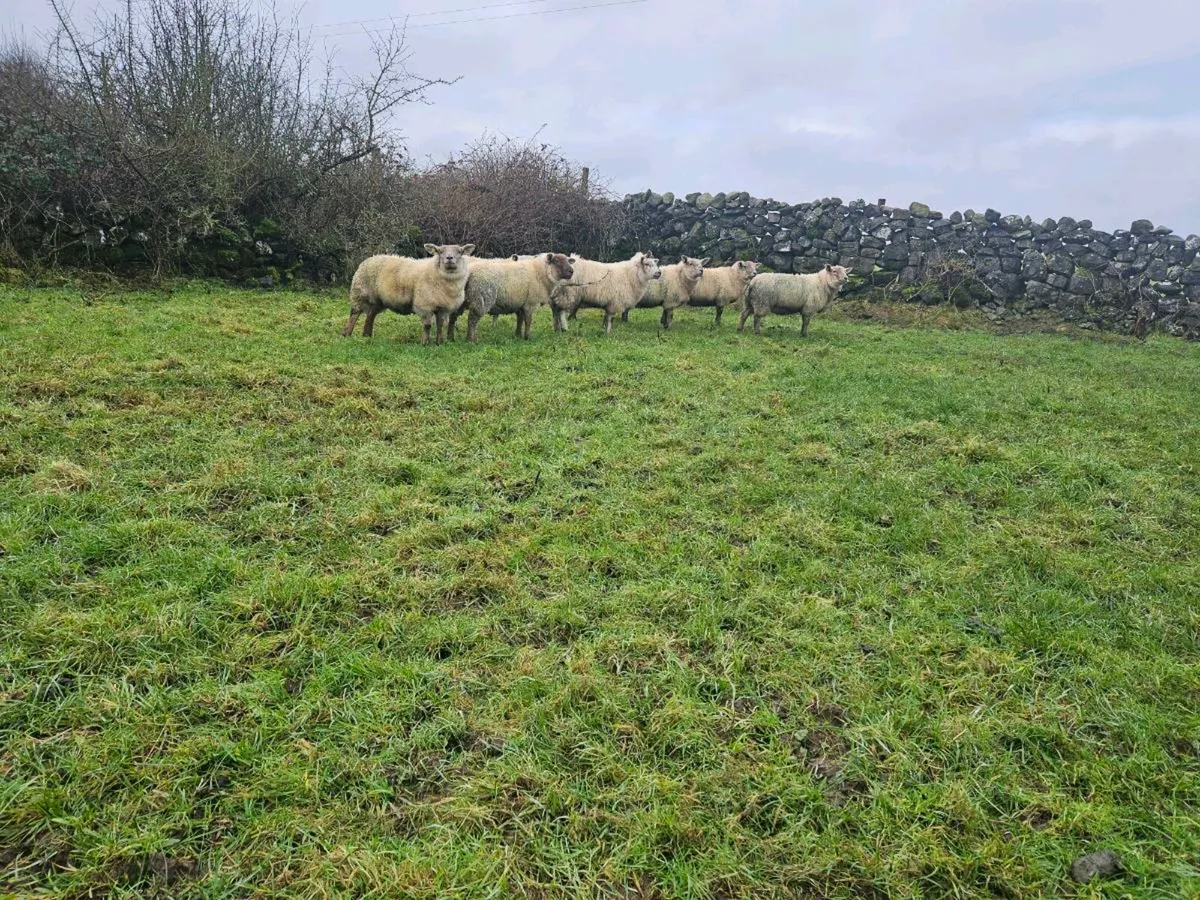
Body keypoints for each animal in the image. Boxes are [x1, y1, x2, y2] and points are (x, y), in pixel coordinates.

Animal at [342, 244, 474, 345]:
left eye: (460, 251)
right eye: (440, 251)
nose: (449, 258)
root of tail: (371, 258)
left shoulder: (444, 308)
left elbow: (441, 325)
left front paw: (439, 342)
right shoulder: (424, 305)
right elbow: (427, 325)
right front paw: (424, 343)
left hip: (377, 301)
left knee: (370, 315)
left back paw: (367, 335)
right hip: (360, 294)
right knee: (354, 314)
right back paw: (346, 334)